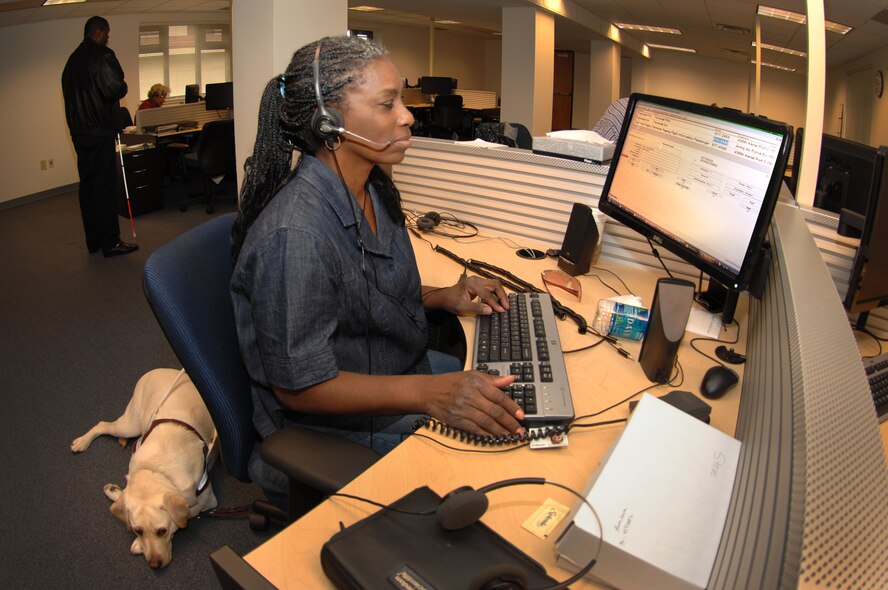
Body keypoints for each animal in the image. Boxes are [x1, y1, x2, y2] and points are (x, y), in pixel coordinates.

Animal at [70, 370, 219, 568]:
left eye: (162, 531)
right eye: (138, 530)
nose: (155, 564)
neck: (156, 472)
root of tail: (161, 370)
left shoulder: (208, 501)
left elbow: (187, 513)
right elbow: (125, 497)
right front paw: (116, 494)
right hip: (130, 425)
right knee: (103, 424)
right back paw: (82, 442)